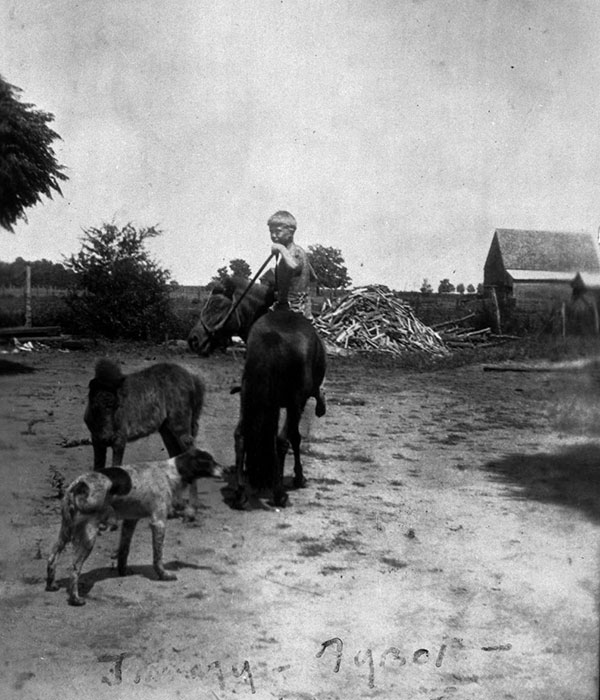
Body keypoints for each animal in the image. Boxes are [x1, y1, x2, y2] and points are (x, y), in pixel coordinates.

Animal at [45, 448, 221, 608]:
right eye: (209, 461)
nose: (226, 470)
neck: (169, 473)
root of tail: (79, 484)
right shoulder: (158, 522)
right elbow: (158, 557)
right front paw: (163, 575)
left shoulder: (131, 521)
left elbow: (124, 550)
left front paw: (122, 572)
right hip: (89, 536)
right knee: (75, 568)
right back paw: (75, 599)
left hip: (66, 531)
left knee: (52, 557)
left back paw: (51, 585)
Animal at [234, 308, 328, 506]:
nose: (321, 409)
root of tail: (272, 338)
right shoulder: (298, 402)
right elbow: (295, 437)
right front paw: (299, 478)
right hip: (294, 401)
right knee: (281, 440)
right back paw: (279, 494)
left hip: (247, 397)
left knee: (240, 436)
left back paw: (240, 492)